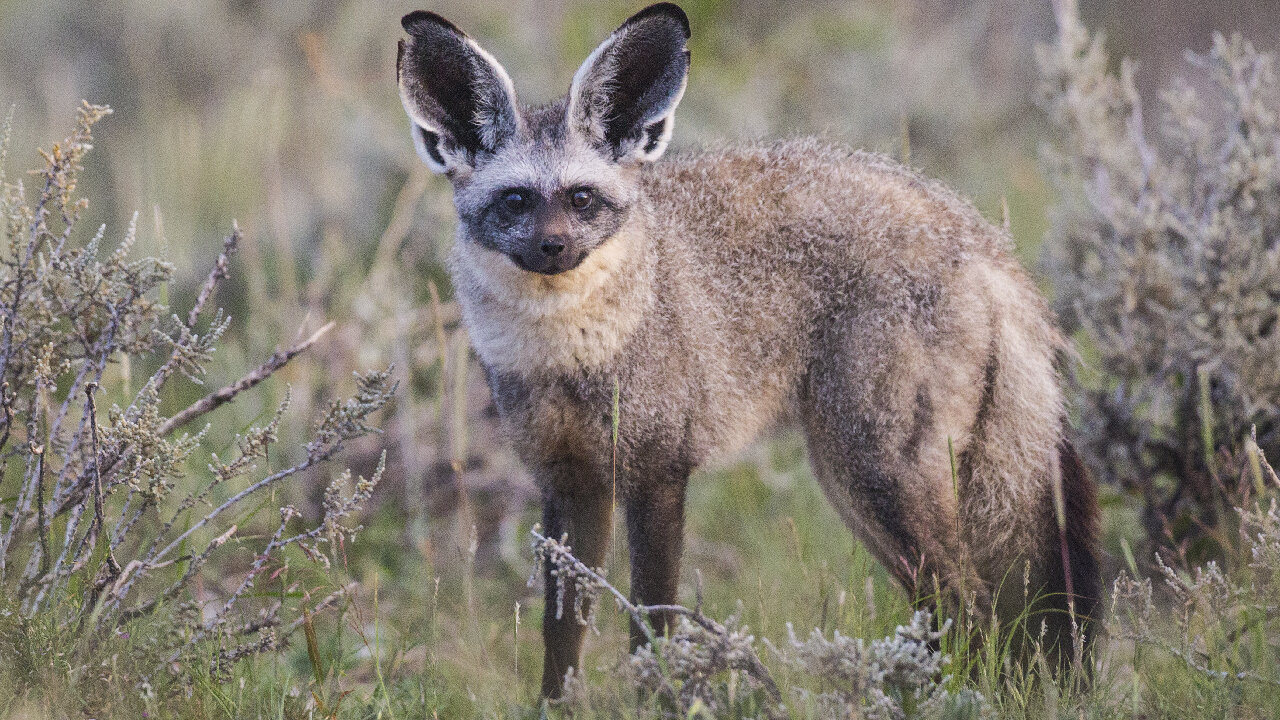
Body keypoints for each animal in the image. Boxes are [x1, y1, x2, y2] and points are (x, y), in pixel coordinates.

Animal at [391, 0, 1100, 696]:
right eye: (515, 200)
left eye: (581, 198)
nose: (553, 247)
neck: (570, 357)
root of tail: (976, 233)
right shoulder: (570, 486)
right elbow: (562, 643)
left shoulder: (657, 475)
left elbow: (652, 626)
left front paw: (659, 702)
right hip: (864, 488)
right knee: (951, 611)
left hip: (872, 474)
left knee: (969, 604)